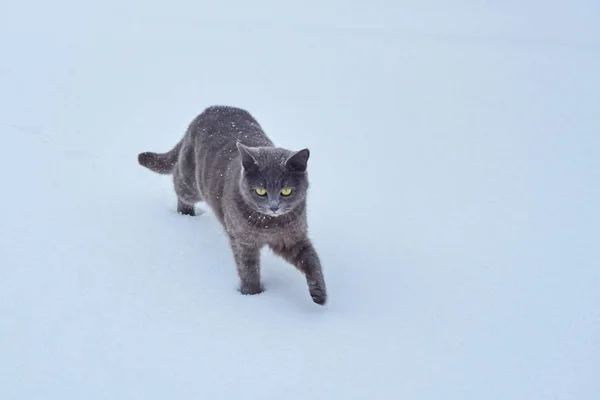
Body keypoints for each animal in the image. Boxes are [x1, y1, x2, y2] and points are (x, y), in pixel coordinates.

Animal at [139, 104, 328, 304]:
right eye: (260, 191)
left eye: (286, 191)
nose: (274, 206)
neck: (269, 225)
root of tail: (210, 109)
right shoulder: (242, 241)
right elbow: (248, 269)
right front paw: (253, 296)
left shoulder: (292, 239)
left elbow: (312, 260)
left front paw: (319, 294)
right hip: (192, 183)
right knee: (178, 180)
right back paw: (186, 214)